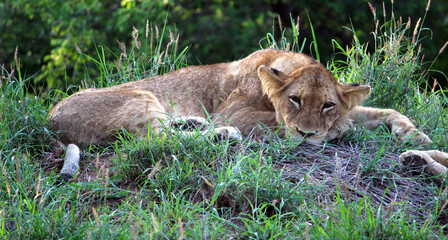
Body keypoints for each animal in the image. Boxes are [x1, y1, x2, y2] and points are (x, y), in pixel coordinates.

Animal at [48, 48, 440, 180]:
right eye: (295, 100)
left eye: (326, 104)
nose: (309, 134)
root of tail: (50, 122)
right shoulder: (233, 112)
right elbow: (275, 125)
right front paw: (336, 131)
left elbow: (384, 109)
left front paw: (416, 137)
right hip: (139, 97)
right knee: (156, 139)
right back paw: (220, 136)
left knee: (167, 132)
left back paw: (194, 122)